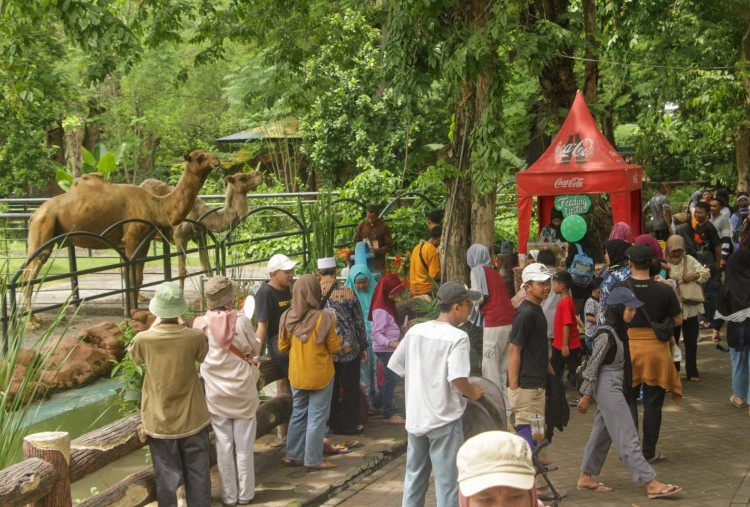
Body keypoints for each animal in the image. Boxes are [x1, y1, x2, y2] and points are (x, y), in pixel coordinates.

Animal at [23, 151, 217, 326]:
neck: (154, 205)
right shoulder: (131, 239)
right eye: (200, 157)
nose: (216, 159)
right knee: (29, 273)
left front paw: (135, 309)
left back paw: (33, 317)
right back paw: (31, 321)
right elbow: (130, 276)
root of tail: (34, 215)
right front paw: (129, 312)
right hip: (43, 227)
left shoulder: (143, 241)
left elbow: (137, 277)